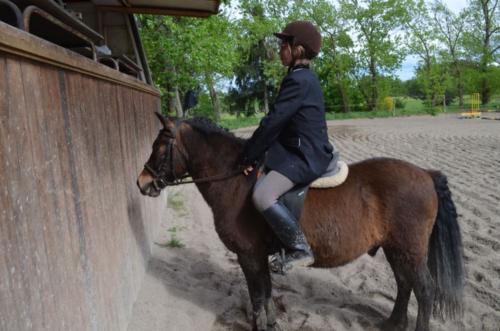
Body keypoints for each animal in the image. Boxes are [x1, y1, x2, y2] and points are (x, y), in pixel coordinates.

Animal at [137, 114, 464, 331]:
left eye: (160, 145)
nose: (142, 183)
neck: (235, 180)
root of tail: (425, 174)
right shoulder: (258, 256)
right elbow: (266, 291)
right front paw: (271, 323)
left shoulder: (248, 255)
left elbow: (257, 295)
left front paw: (261, 325)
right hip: (395, 249)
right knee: (404, 283)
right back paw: (392, 324)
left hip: (409, 249)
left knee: (424, 290)